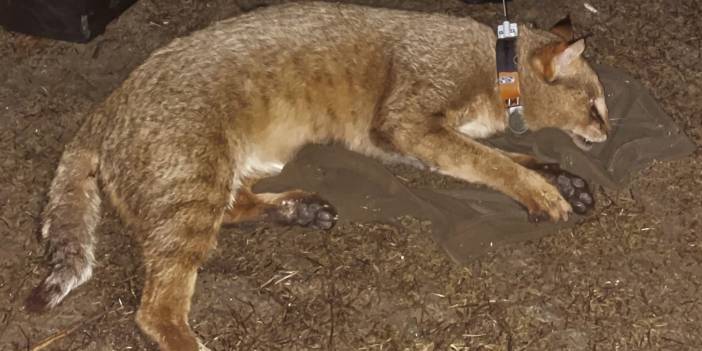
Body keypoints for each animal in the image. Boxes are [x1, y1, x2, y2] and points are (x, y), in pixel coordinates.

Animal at [26, 2, 612, 350]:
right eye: (596, 107)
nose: (607, 133)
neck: (497, 68)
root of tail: (103, 109)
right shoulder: (407, 125)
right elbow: (494, 161)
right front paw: (541, 189)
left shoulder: (409, 141)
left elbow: (500, 158)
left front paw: (558, 176)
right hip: (195, 180)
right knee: (158, 310)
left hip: (229, 171)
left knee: (234, 208)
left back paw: (298, 209)